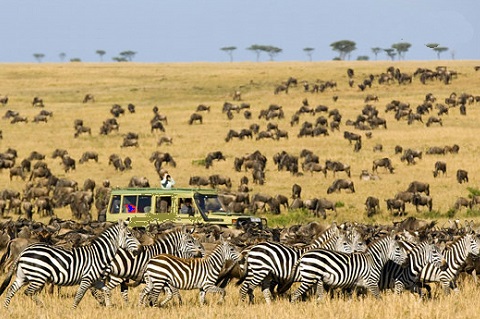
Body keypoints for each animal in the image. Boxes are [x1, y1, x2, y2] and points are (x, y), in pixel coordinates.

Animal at [0, 221, 142, 308]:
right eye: (129, 235)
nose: (141, 248)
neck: (98, 254)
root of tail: (24, 250)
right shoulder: (87, 279)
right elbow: (79, 296)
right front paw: (73, 309)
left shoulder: (96, 280)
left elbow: (106, 291)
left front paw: (108, 306)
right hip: (38, 276)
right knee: (28, 292)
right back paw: (42, 306)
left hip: (23, 276)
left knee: (11, 289)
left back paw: (7, 309)